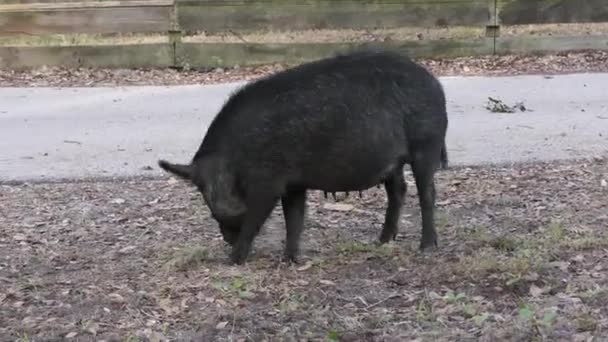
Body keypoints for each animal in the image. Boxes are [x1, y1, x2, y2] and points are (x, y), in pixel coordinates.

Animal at [159, 48, 448, 264]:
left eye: (211, 201)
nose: (227, 238)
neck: (234, 159)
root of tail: (435, 84)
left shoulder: (268, 182)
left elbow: (256, 219)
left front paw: (232, 261)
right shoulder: (294, 183)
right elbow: (294, 219)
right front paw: (290, 259)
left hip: (427, 144)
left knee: (427, 193)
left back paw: (427, 247)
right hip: (393, 162)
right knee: (398, 190)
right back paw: (382, 241)